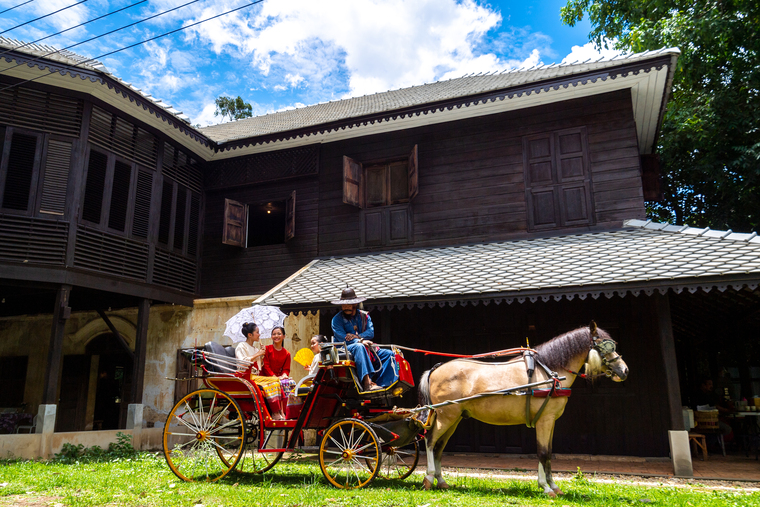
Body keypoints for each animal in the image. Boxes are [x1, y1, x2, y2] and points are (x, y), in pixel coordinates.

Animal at [418, 326, 628, 496]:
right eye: (604, 347)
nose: (624, 370)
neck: (550, 371)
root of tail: (435, 369)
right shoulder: (545, 420)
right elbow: (543, 452)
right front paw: (546, 488)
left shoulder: (550, 421)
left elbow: (549, 453)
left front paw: (553, 486)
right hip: (446, 417)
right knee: (430, 441)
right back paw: (429, 478)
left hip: (454, 419)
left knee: (439, 447)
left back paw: (441, 481)